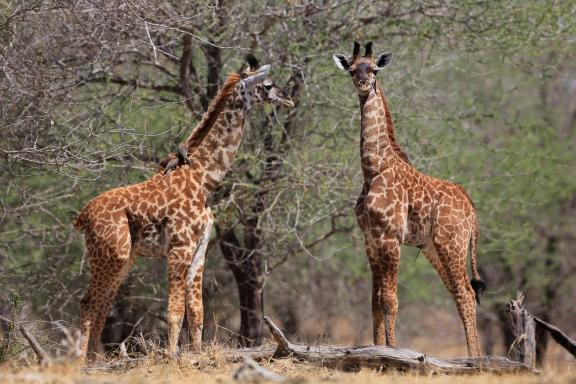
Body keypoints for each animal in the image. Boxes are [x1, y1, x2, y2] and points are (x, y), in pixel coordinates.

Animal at [74, 55, 294, 362]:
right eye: (269, 84)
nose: (289, 100)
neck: (204, 180)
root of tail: (82, 217)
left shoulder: (200, 248)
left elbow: (197, 310)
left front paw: (196, 354)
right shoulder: (180, 247)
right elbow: (175, 310)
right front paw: (171, 356)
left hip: (124, 258)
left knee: (103, 303)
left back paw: (96, 360)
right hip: (112, 254)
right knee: (88, 302)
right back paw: (80, 362)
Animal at [332, 42, 486, 356]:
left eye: (374, 70)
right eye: (352, 70)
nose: (363, 84)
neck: (374, 169)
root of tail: (471, 208)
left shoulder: (390, 238)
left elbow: (389, 300)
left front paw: (392, 352)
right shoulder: (370, 240)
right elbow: (374, 302)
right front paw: (376, 349)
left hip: (452, 244)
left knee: (465, 292)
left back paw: (474, 360)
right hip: (433, 248)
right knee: (458, 292)